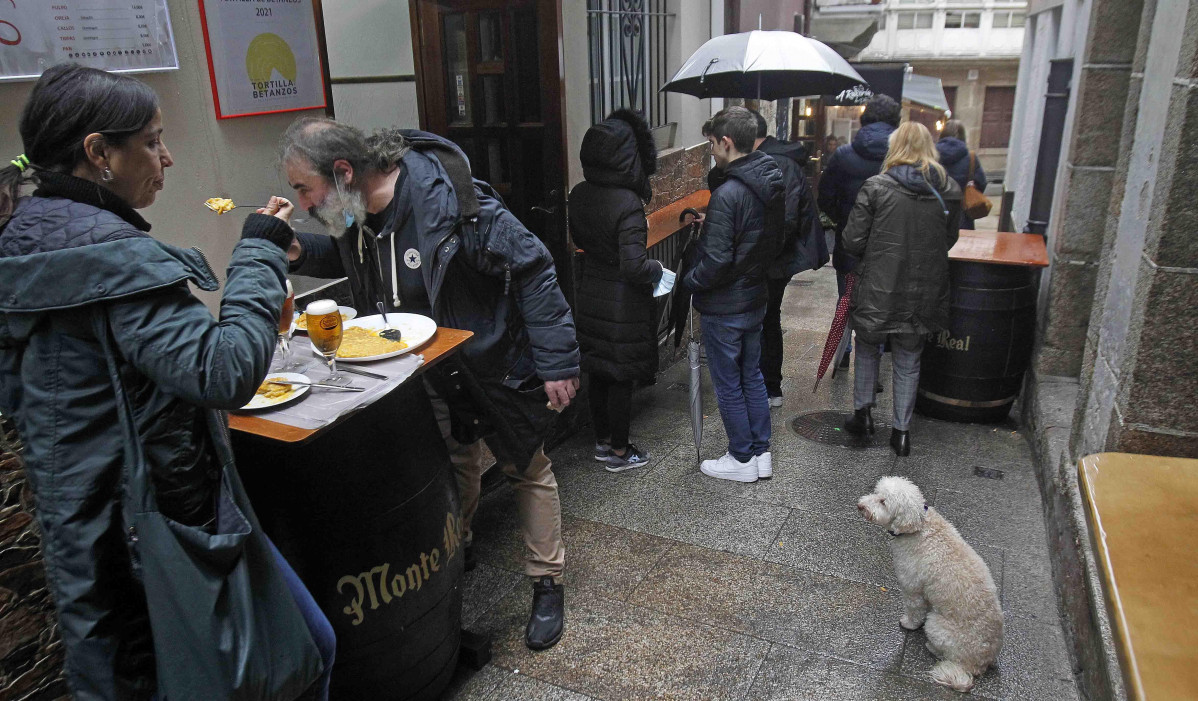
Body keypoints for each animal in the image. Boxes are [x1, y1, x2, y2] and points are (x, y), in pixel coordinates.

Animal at [862, 472, 1001, 690]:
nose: (861, 506)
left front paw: (908, 624)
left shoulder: (912, 588)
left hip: (936, 625)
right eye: (876, 493)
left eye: (883, 502)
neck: (919, 526)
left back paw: (930, 646)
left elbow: (914, 610)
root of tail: (979, 664)